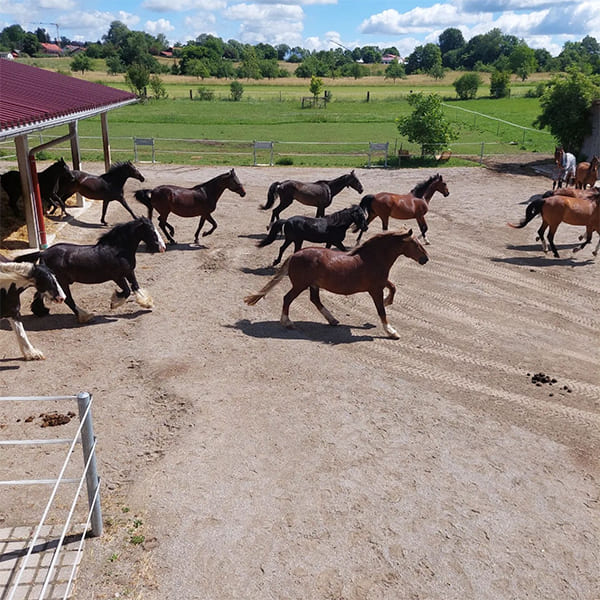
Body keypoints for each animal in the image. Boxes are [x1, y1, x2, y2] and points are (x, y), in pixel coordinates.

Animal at [16, 213, 166, 322]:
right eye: (152, 231)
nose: (163, 247)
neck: (118, 250)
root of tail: (44, 252)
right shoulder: (117, 277)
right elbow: (127, 291)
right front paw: (113, 303)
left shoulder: (129, 272)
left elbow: (136, 287)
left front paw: (147, 303)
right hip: (61, 282)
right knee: (68, 300)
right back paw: (85, 316)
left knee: (40, 294)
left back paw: (41, 311)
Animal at [246, 229, 428, 340]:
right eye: (415, 244)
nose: (425, 259)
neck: (372, 258)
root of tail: (295, 254)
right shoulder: (375, 289)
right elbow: (381, 311)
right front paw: (391, 332)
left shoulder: (381, 283)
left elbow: (393, 287)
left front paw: (387, 301)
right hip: (300, 285)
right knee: (287, 298)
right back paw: (287, 322)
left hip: (313, 285)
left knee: (315, 300)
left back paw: (332, 319)